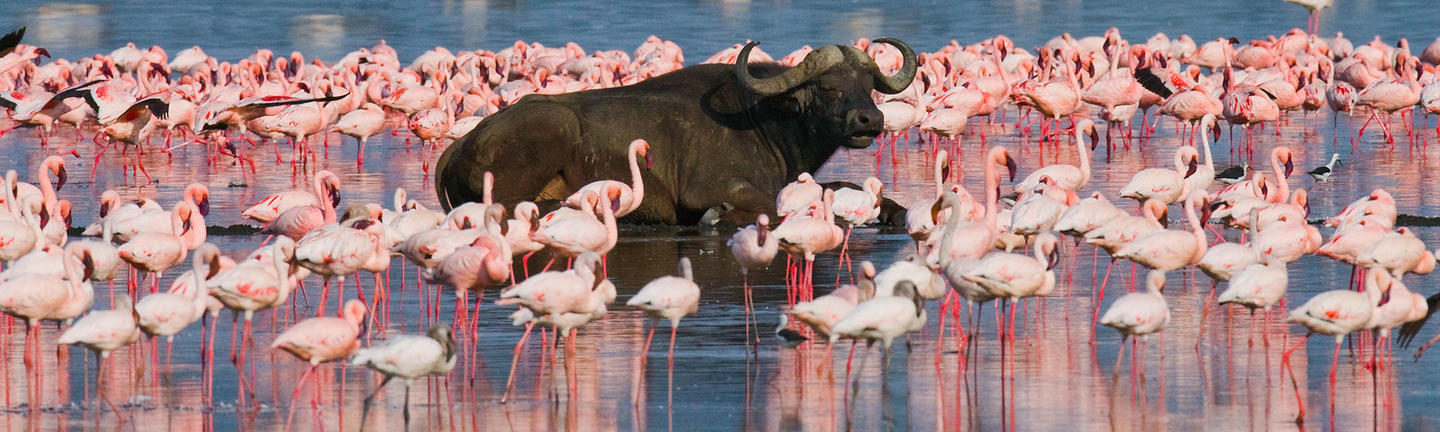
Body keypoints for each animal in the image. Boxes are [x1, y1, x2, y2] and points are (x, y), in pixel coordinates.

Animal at [432, 38, 915, 224]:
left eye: (868, 85)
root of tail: (463, 144)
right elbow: (772, 208)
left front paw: (892, 211)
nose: (870, 121)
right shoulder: (711, 189)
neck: (765, 121)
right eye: (829, 88)